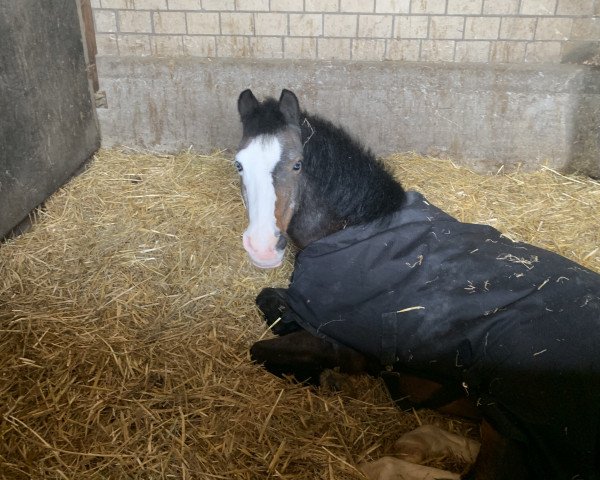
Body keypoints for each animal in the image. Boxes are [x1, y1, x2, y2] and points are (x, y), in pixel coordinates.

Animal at [232, 88, 600, 478]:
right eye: (239, 165)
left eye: (297, 164)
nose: (262, 247)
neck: (359, 225)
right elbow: (270, 304)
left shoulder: (334, 338)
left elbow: (261, 348)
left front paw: (327, 377)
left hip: (508, 431)